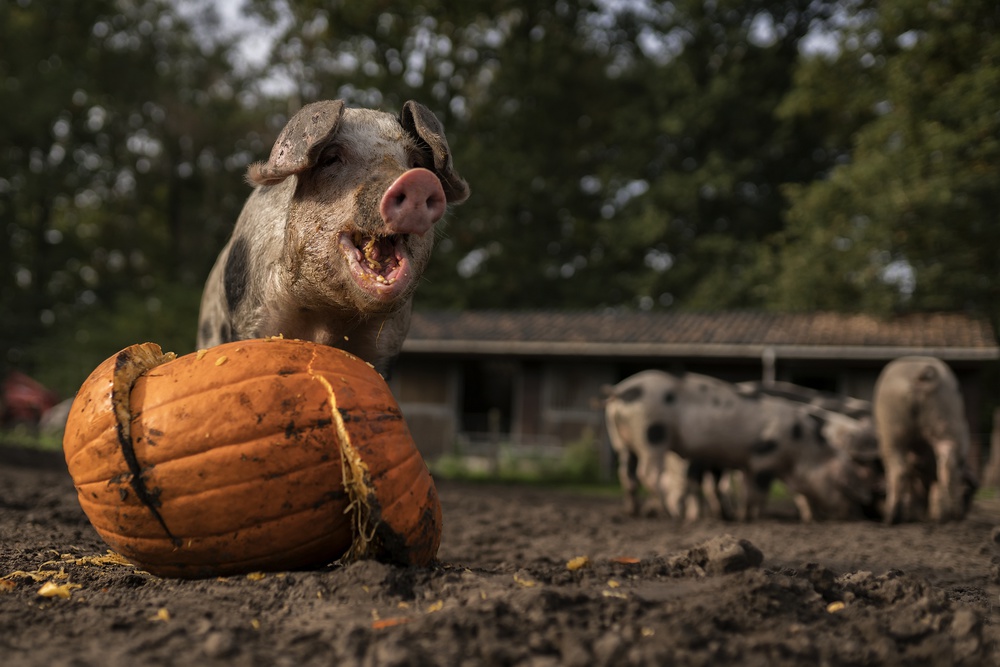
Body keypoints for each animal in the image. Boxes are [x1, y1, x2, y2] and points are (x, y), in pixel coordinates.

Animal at [201, 99, 474, 376]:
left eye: (416, 162)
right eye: (330, 159)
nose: (417, 180)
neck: (328, 318)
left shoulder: (386, 344)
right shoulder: (251, 319)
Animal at [600, 370, 876, 520]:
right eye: (843, 485)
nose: (856, 513)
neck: (802, 448)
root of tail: (620, 391)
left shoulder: (747, 463)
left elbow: (746, 489)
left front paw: (743, 515)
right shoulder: (764, 458)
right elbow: (758, 492)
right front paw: (754, 517)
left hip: (621, 439)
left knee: (626, 474)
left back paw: (633, 512)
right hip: (651, 433)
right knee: (649, 473)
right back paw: (670, 514)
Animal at [876, 358, 976, 524]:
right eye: (968, 495)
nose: (965, 513)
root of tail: (922, 372)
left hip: (891, 427)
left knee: (899, 469)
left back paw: (892, 519)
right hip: (944, 419)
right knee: (946, 465)